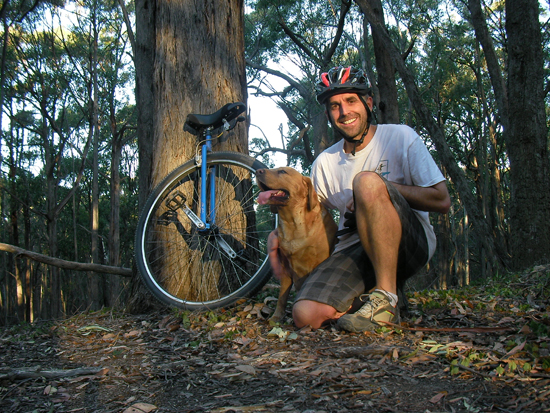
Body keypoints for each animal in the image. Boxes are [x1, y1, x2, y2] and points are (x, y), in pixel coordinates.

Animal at [256, 167, 338, 322]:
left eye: (282, 171)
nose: (258, 171)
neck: (293, 223)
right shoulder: (285, 268)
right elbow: (282, 297)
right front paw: (277, 316)